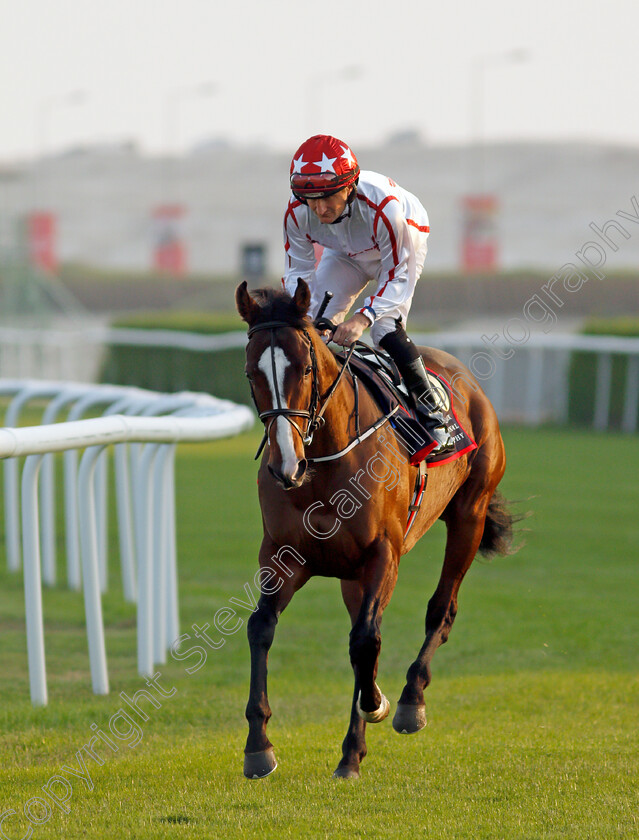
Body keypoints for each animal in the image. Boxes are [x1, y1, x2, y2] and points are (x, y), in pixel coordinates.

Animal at [238, 278, 512, 776]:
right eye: (252, 373)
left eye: (305, 369)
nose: (286, 466)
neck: (322, 462)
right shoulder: (284, 556)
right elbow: (261, 627)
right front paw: (258, 745)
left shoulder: (383, 554)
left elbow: (367, 642)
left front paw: (378, 704)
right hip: (353, 574)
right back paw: (352, 751)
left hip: (470, 515)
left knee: (440, 610)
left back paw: (407, 701)